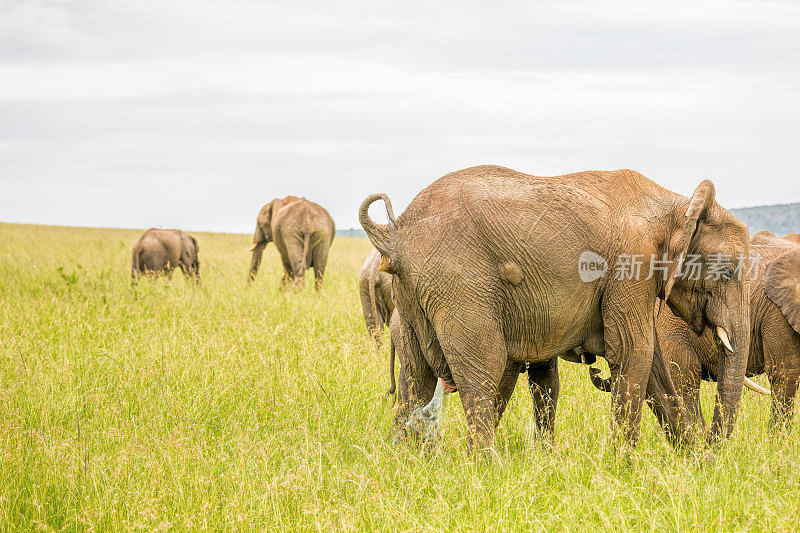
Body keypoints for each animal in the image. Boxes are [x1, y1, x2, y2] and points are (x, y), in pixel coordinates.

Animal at [360, 163, 752, 448]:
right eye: (727, 271)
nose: (714, 449)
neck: (679, 206)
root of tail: (396, 238)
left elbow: (651, 361)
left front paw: (690, 462)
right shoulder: (630, 268)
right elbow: (633, 351)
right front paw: (623, 467)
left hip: (411, 299)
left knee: (415, 382)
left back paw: (406, 462)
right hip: (460, 287)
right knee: (482, 373)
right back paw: (485, 469)